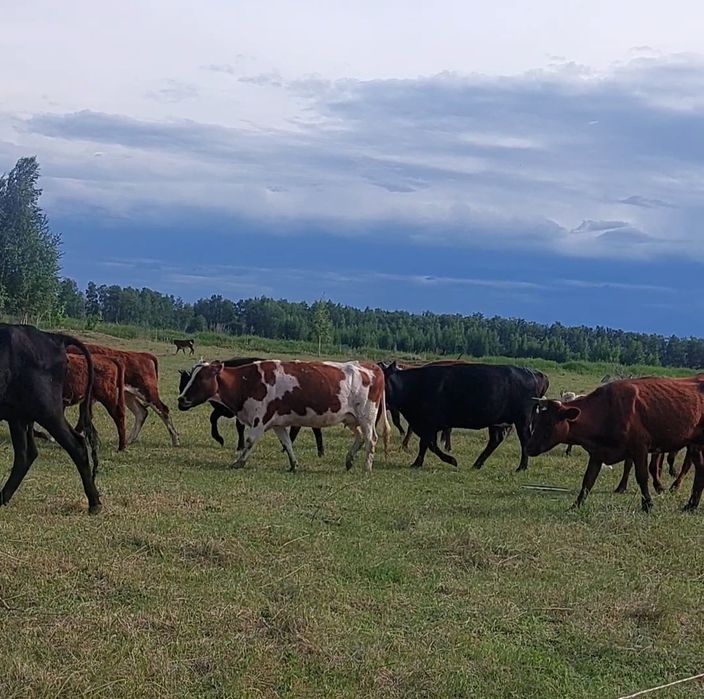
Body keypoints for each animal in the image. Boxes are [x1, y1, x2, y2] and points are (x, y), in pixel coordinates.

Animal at [0, 324, 101, 513]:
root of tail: (53, 337)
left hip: (48, 412)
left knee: (76, 446)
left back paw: (94, 503)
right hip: (20, 417)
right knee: (26, 454)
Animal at [382, 362, 549, 470]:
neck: (415, 385)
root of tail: (532, 373)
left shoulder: (430, 423)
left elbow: (429, 444)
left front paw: (450, 460)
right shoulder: (426, 425)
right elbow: (426, 444)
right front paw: (418, 463)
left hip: (522, 420)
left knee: (525, 440)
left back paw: (521, 467)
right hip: (498, 421)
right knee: (495, 440)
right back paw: (477, 464)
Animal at [527, 376, 704, 513]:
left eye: (548, 424)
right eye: (536, 420)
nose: (529, 448)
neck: (607, 410)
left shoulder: (639, 448)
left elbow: (642, 477)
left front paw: (648, 505)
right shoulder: (598, 453)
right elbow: (588, 480)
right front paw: (576, 505)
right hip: (696, 446)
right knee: (700, 469)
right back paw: (691, 505)